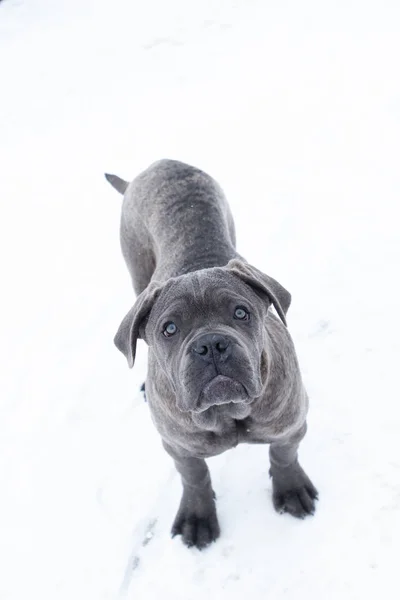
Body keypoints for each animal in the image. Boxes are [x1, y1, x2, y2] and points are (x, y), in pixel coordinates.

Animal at [104, 158, 318, 548]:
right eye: (169, 329)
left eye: (241, 312)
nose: (211, 345)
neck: (227, 412)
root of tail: (158, 165)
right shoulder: (179, 446)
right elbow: (195, 476)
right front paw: (197, 517)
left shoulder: (291, 424)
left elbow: (283, 455)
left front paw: (291, 490)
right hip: (137, 266)